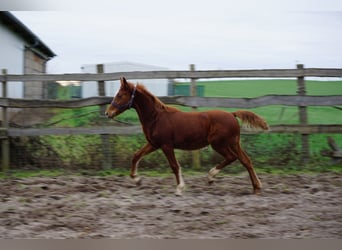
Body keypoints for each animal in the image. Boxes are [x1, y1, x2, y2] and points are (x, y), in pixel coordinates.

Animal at [105, 76, 268, 195]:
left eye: (120, 95)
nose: (108, 113)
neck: (156, 117)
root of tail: (232, 114)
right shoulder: (154, 144)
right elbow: (136, 156)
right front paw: (136, 180)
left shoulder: (166, 145)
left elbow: (174, 166)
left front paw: (180, 188)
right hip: (234, 143)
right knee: (246, 161)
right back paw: (256, 187)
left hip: (218, 144)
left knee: (232, 157)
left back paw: (211, 177)